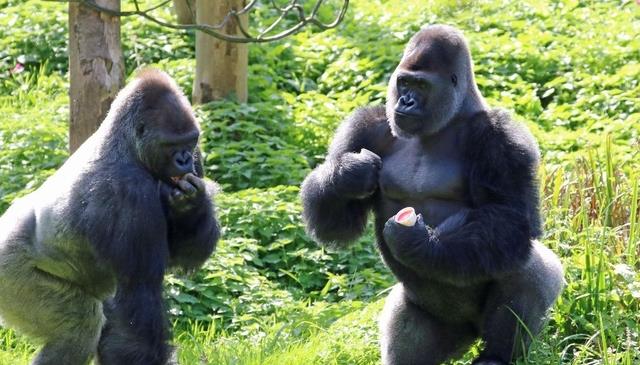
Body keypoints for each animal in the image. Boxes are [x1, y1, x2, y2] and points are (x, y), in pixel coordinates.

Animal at [0, 69, 220, 364]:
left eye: (190, 141)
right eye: (171, 145)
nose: (184, 160)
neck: (126, 145)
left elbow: (184, 253)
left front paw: (190, 205)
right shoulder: (126, 192)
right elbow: (139, 291)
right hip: (11, 275)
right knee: (79, 328)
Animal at [302, 25, 564, 364]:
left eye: (421, 85)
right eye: (404, 82)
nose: (406, 102)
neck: (450, 119)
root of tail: (470, 333)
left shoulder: (503, 138)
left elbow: (511, 218)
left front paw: (420, 243)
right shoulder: (365, 127)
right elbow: (338, 225)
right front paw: (347, 175)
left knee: (529, 268)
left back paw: (497, 354)